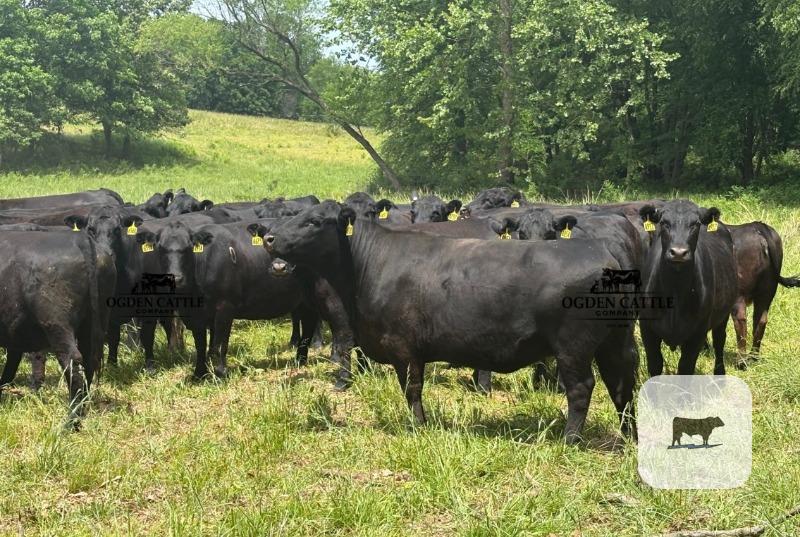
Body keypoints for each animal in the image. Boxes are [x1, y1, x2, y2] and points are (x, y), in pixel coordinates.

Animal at [262, 201, 639, 443]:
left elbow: (412, 389)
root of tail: (603, 252)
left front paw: (418, 427)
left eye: (314, 221)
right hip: (614, 341)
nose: (268, 239)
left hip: (573, 348)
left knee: (582, 388)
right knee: (621, 385)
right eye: (294, 214)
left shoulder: (404, 347)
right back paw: (629, 435)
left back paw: (570, 439)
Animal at [639, 200, 738, 376]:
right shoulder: (647, 330)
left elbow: (685, 368)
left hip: (723, 313)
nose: (678, 252)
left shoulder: (696, 334)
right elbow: (655, 365)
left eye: (695, 224)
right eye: (664, 223)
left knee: (720, 340)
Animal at [728, 222, 799, 363]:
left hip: (739, 295)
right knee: (760, 319)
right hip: (767, 291)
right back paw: (753, 357)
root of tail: (758, 228)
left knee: (741, 320)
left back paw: (741, 361)